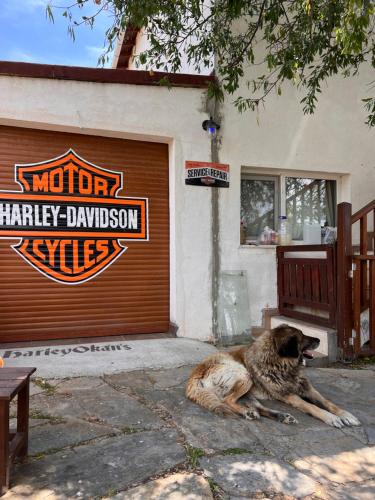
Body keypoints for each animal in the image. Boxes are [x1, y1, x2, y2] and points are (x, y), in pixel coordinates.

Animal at [187, 326, 362, 428]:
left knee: (256, 407)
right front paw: (330, 418)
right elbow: (313, 407)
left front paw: (346, 415)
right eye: (302, 337)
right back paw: (249, 413)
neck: (281, 365)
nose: (319, 339)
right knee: (227, 400)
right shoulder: (288, 395)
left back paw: (277, 416)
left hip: (247, 389)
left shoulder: (306, 388)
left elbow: (327, 402)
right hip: (244, 375)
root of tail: (195, 376)